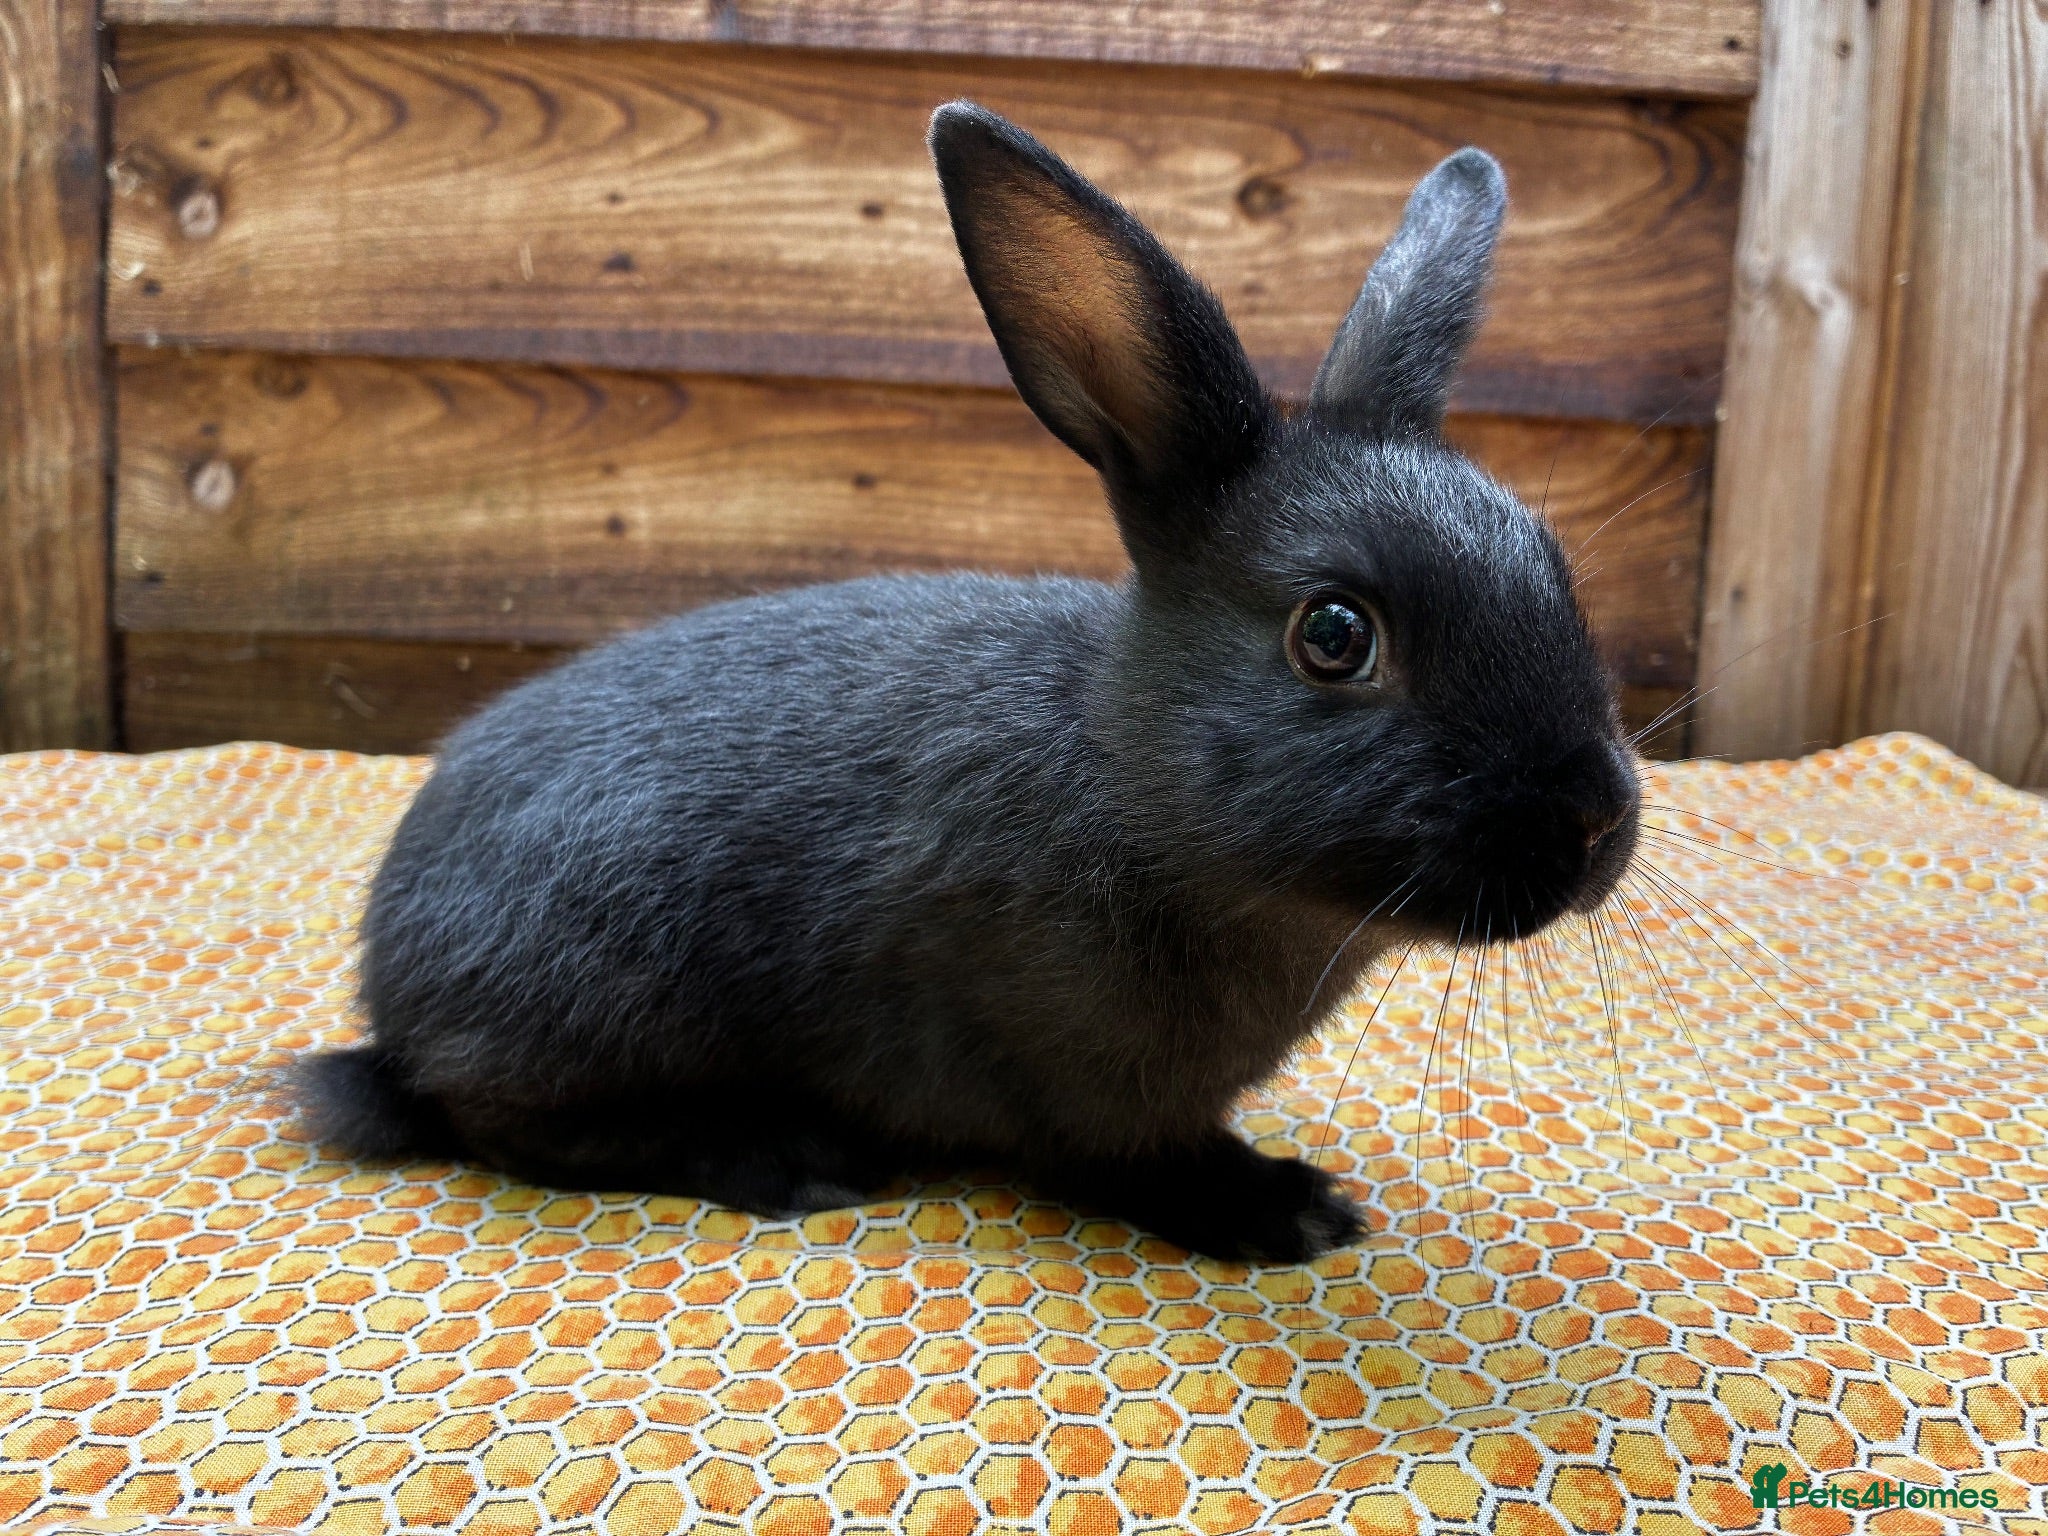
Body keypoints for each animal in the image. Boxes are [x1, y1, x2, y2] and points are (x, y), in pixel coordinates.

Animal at [295, 102, 1640, 1263]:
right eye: (1333, 634)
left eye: (1550, 564)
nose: (1591, 822)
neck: (1141, 796)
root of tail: (391, 995)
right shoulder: (1066, 1077)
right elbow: (1132, 1162)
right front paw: (1280, 1210)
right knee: (509, 1127)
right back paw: (786, 1158)